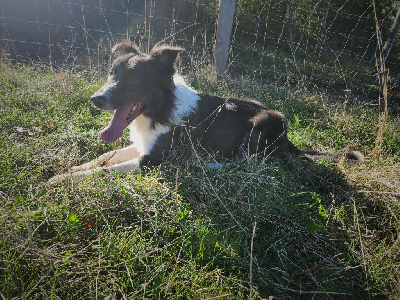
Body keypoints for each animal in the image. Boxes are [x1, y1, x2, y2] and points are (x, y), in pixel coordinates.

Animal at [49, 41, 362, 183]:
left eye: (135, 81)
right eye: (111, 73)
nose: (96, 99)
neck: (161, 108)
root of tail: (289, 140)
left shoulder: (154, 160)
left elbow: (108, 168)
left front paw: (62, 180)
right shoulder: (142, 145)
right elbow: (106, 156)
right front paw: (73, 168)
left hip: (265, 121)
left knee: (249, 163)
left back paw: (208, 164)